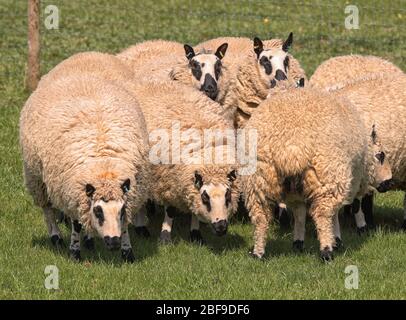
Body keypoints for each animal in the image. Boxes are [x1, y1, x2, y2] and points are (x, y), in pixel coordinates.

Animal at [241, 87, 394, 260]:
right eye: (380, 155)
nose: (389, 182)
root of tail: (290, 149)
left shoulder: (296, 194)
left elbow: (300, 215)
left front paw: (298, 243)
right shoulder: (342, 182)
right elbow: (334, 214)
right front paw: (337, 240)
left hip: (258, 181)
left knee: (261, 217)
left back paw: (258, 253)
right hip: (327, 176)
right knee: (323, 215)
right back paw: (327, 251)